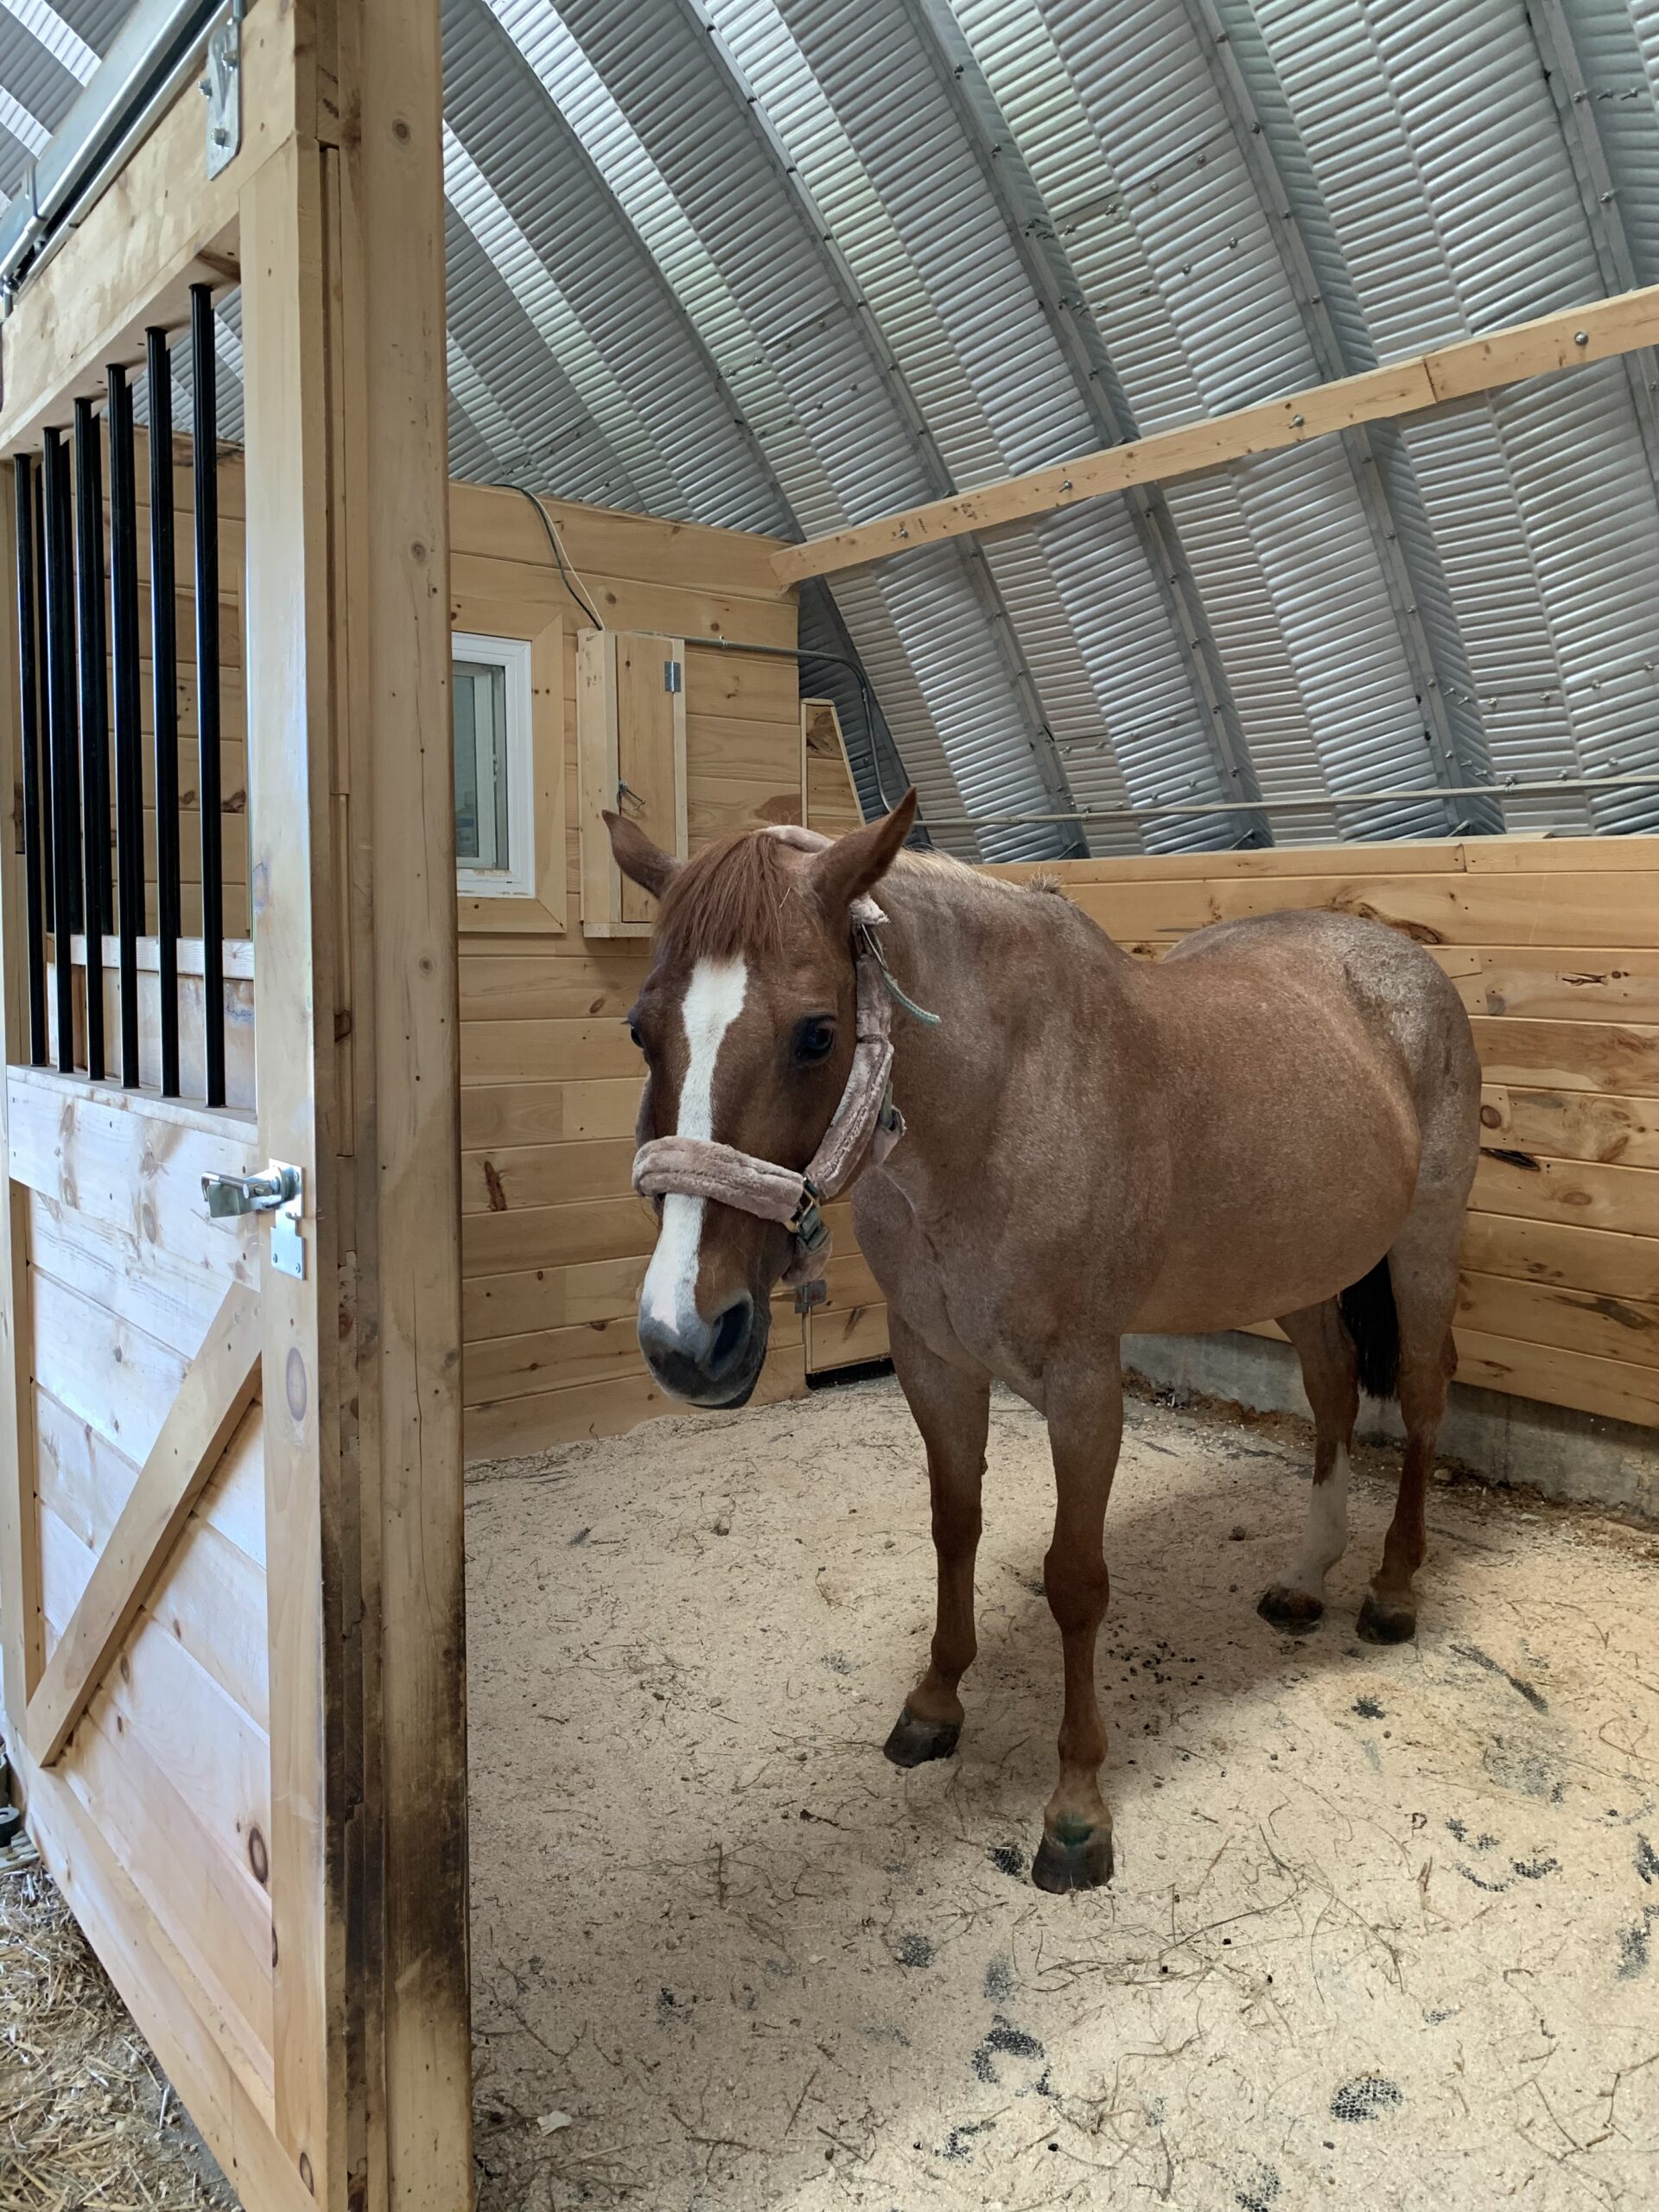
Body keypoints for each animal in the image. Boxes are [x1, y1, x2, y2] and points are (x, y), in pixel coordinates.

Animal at [605, 793, 1481, 1893]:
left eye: (816, 1033)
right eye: (640, 1029)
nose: (686, 1336)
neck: (1001, 1102)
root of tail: (1401, 964)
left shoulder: (1083, 1387)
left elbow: (1075, 1581)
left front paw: (1074, 1813)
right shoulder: (934, 1362)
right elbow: (954, 1527)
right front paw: (934, 1705)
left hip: (1424, 1240)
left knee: (1423, 1395)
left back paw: (1393, 1588)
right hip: (1301, 1269)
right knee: (1330, 1387)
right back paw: (1306, 1576)